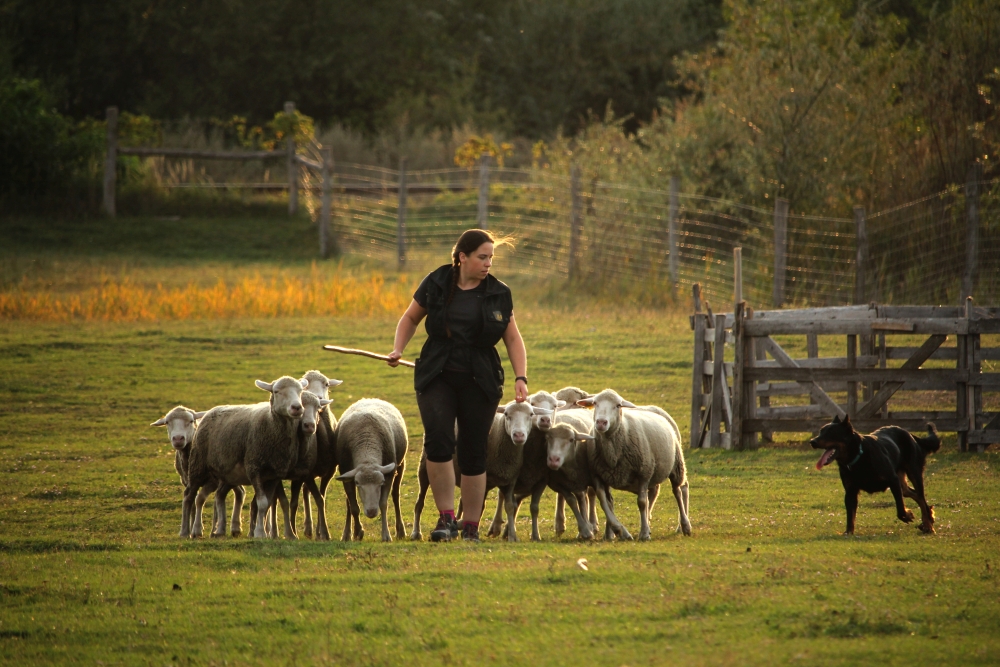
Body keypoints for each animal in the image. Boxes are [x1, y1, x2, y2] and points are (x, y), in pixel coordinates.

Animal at [184, 378, 308, 540]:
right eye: (276, 391)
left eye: (300, 391)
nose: (297, 407)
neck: (271, 425)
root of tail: (210, 411)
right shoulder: (254, 468)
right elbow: (262, 503)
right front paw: (260, 533)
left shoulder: (274, 475)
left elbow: (267, 504)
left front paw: (261, 532)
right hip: (198, 465)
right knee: (189, 496)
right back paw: (187, 531)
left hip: (224, 475)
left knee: (215, 495)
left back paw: (217, 530)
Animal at [330, 396, 404, 544]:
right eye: (358, 483)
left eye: (381, 483)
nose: (371, 512)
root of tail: (370, 398)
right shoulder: (347, 474)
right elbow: (353, 507)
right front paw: (358, 532)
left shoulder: (388, 475)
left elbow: (383, 504)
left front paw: (386, 535)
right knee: (348, 502)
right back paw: (347, 534)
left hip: (400, 465)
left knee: (395, 496)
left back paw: (400, 531)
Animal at [576, 392, 692, 536]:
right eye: (595, 403)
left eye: (618, 405)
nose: (601, 422)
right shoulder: (599, 475)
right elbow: (605, 502)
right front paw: (615, 531)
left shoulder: (644, 472)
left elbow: (642, 502)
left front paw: (643, 534)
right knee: (655, 492)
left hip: (676, 464)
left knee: (678, 491)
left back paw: (685, 526)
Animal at [808, 414, 940, 536]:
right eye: (821, 431)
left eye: (831, 432)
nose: (812, 441)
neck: (858, 456)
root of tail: (910, 434)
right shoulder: (850, 490)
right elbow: (850, 515)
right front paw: (848, 532)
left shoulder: (893, 480)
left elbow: (900, 509)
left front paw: (907, 515)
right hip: (902, 483)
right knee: (913, 493)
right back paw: (929, 517)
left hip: (914, 473)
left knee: (921, 497)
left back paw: (928, 525)